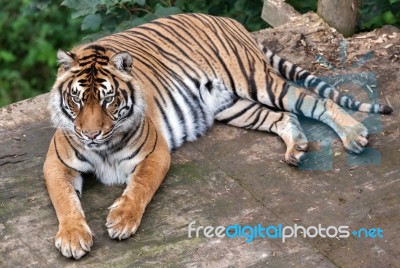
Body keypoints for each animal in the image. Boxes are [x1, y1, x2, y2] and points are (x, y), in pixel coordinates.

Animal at [42, 13, 392, 260]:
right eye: (77, 100)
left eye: (108, 100)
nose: (90, 135)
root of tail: (226, 19)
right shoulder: (57, 163)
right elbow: (65, 200)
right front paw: (73, 238)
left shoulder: (155, 153)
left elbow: (139, 186)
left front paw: (122, 220)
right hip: (232, 106)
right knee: (283, 116)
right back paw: (296, 149)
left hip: (257, 81)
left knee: (315, 100)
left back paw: (355, 135)